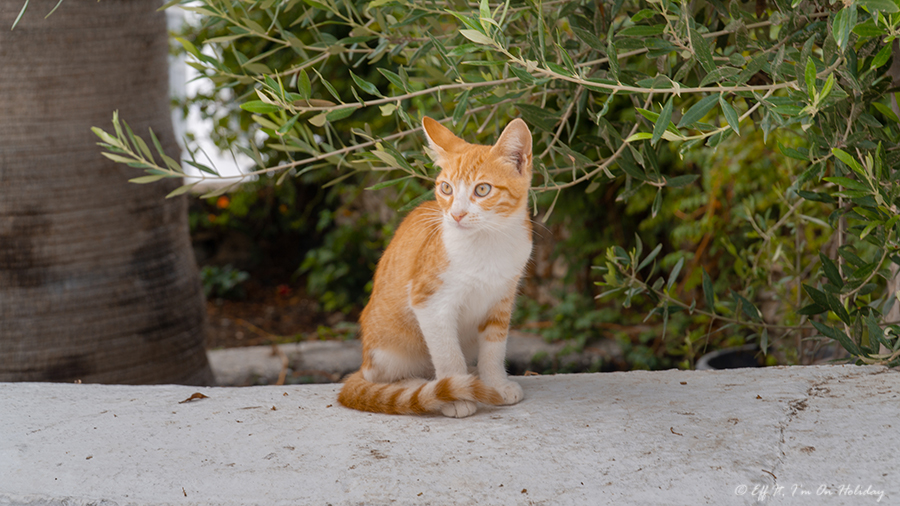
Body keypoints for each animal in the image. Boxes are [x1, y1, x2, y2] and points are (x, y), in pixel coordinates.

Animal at [340, 116, 536, 418]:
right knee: (383, 380)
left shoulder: (502, 299)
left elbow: (494, 348)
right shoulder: (429, 302)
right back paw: (422, 386)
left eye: (482, 189)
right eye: (446, 188)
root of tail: (363, 363)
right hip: (389, 350)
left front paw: (495, 383)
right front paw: (455, 395)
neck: (488, 242)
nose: (456, 214)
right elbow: (446, 353)